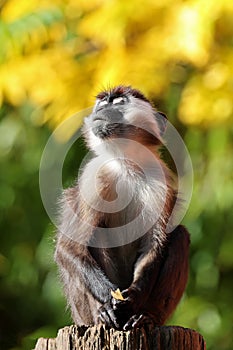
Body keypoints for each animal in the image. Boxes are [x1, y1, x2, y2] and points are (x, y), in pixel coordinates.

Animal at [54, 85, 189, 330]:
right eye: (102, 104)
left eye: (118, 103)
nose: (101, 111)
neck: (126, 163)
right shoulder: (94, 176)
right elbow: (69, 247)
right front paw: (110, 300)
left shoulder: (161, 181)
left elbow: (154, 245)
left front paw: (132, 298)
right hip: (82, 315)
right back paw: (103, 313)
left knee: (180, 235)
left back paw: (146, 316)